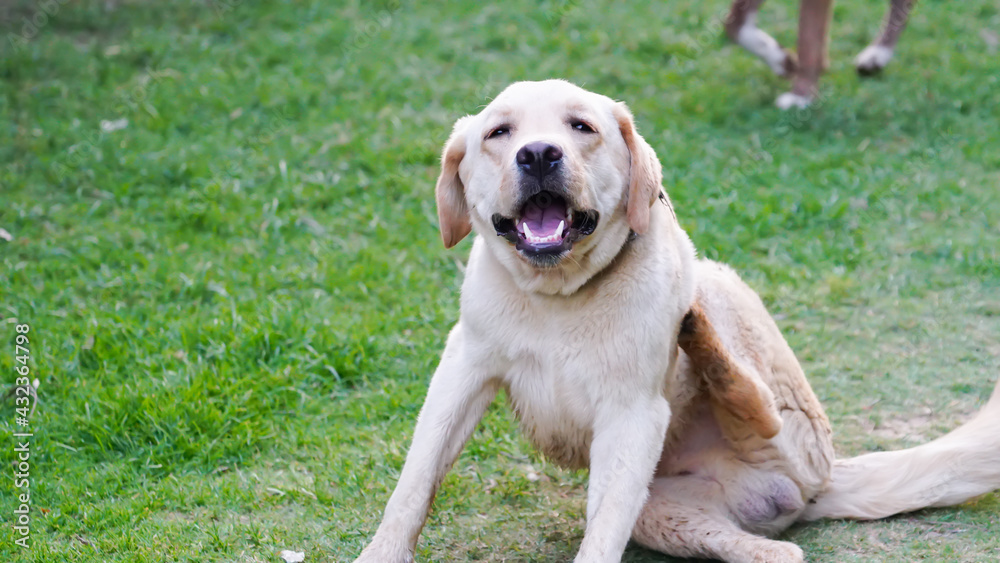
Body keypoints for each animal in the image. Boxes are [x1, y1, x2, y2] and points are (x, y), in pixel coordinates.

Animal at [353, 79, 1000, 563]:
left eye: (581, 127)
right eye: (498, 133)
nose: (538, 154)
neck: (559, 296)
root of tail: (823, 481)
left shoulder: (632, 414)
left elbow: (601, 528)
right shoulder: (462, 370)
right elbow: (413, 485)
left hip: (720, 292)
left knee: (760, 405)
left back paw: (699, 336)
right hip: (663, 512)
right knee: (765, 546)